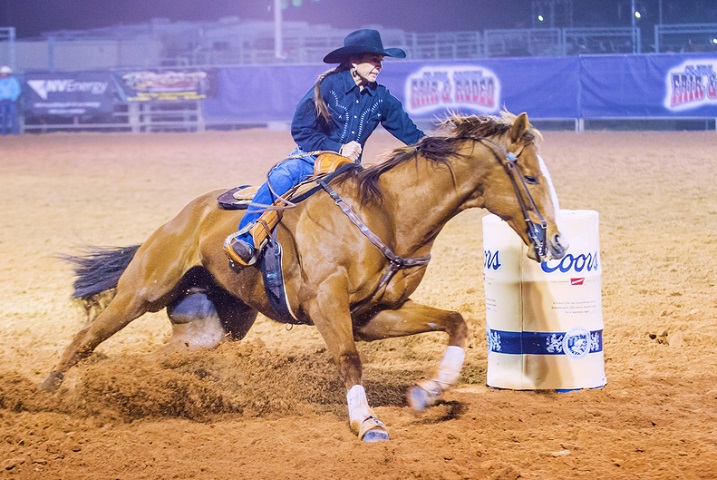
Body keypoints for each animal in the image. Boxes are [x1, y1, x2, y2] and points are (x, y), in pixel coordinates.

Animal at [39, 112, 568, 442]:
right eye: (531, 177)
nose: (558, 243)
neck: (387, 213)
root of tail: (183, 216)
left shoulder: (375, 314)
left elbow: (455, 322)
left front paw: (428, 391)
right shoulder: (327, 303)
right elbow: (349, 360)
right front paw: (368, 423)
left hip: (211, 326)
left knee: (162, 356)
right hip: (141, 291)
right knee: (86, 337)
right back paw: (48, 390)